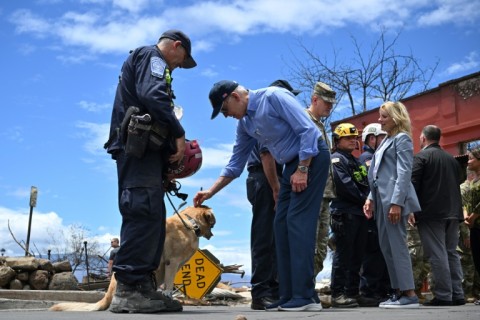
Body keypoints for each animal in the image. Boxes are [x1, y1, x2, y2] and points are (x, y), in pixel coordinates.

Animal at [49, 205, 216, 312]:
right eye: (213, 224)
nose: (213, 234)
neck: (190, 223)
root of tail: (106, 296)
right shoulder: (172, 262)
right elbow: (169, 286)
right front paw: (169, 296)